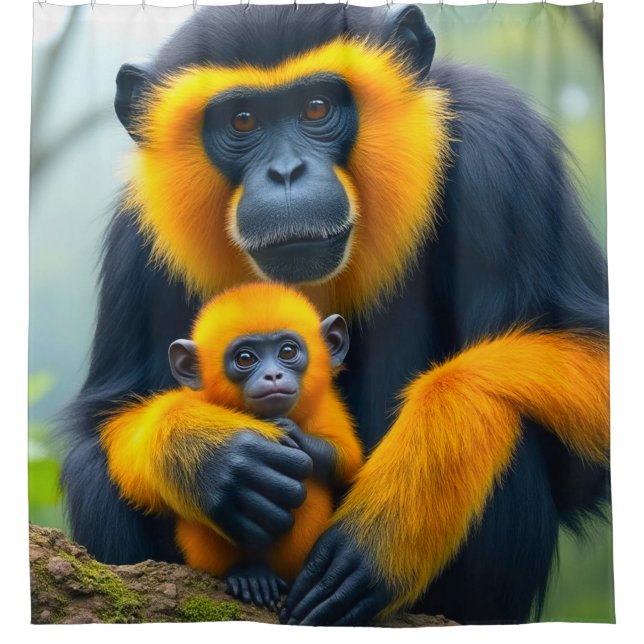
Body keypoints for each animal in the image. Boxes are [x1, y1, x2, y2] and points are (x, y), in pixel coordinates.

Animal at [99, 283, 363, 609]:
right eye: (246, 358)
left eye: (288, 351)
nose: (273, 375)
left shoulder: (329, 409)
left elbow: (346, 463)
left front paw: (290, 429)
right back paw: (249, 574)